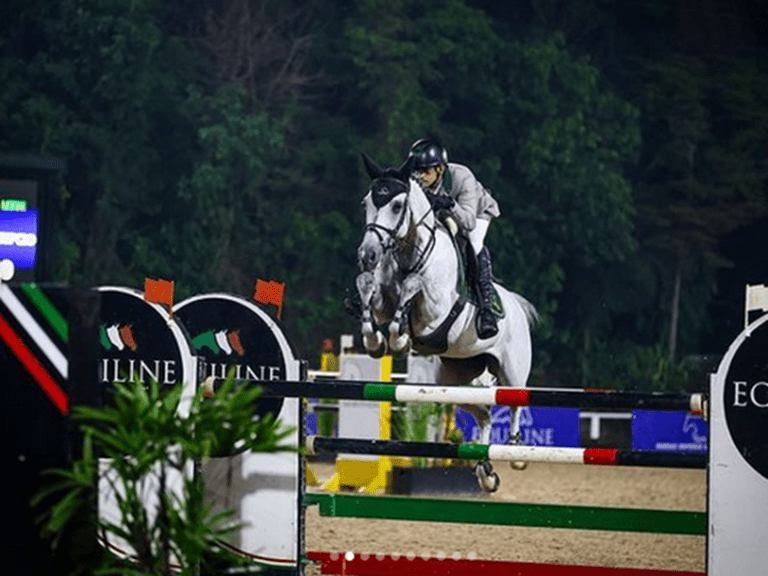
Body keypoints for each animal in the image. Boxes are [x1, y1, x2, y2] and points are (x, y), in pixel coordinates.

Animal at [352, 153, 536, 490]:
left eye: (397, 205)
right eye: (366, 203)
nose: (367, 255)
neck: (409, 251)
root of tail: (517, 305)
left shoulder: (436, 312)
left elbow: (413, 288)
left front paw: (399, 338)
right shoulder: (382, 300)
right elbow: (368, 288)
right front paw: (377, 340)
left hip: (512, 370)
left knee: (516, 402)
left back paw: (517, 452)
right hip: (454, 379)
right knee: (484, 413)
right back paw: (485, 470)